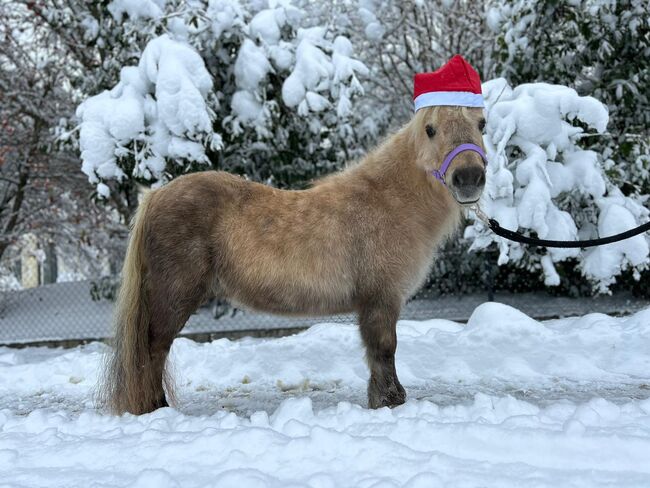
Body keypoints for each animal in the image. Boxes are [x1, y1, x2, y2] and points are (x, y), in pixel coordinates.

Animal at [100, 105, 486, 414]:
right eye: (430, 129)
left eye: (482, 123)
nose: (469, 178)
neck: (387, 202)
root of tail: (156, 195)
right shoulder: (381, 299)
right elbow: (384, 350)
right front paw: (392, 401)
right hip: (173, 298)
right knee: (153, 350)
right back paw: (155, 409)